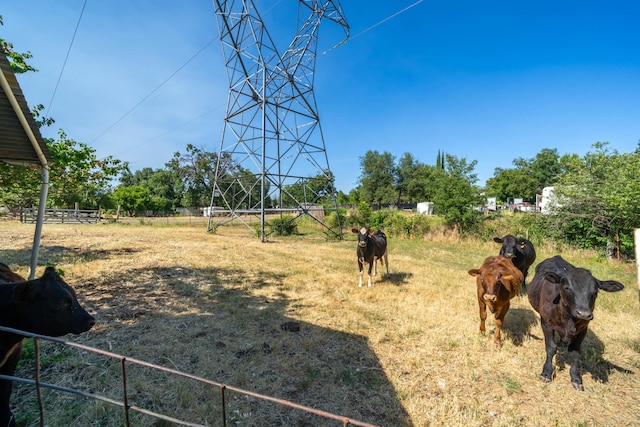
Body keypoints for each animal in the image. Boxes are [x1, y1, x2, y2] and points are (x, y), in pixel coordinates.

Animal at [524, 256, 624, 392]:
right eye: (567, 288)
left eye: (595, 292)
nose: (583, 313)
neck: (568, 319)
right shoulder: (546, 323)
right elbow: (551, 348)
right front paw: (546, 373)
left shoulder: (582, 330)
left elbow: (575, 353)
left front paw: (576, 378)